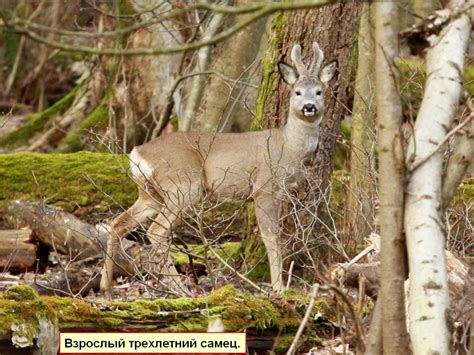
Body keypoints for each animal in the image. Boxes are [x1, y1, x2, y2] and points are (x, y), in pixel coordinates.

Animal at [100, 42, 336, 298]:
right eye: (297, 92)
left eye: (319, 91)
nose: (309, 107)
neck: (289, 146)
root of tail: (137, 152)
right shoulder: (264, 188)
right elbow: (271, 238)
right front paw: (278, 288)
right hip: (183, 184)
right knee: (156, 231)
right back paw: (181, 290)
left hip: (150, 193)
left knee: (118, 223)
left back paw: (106, 287)